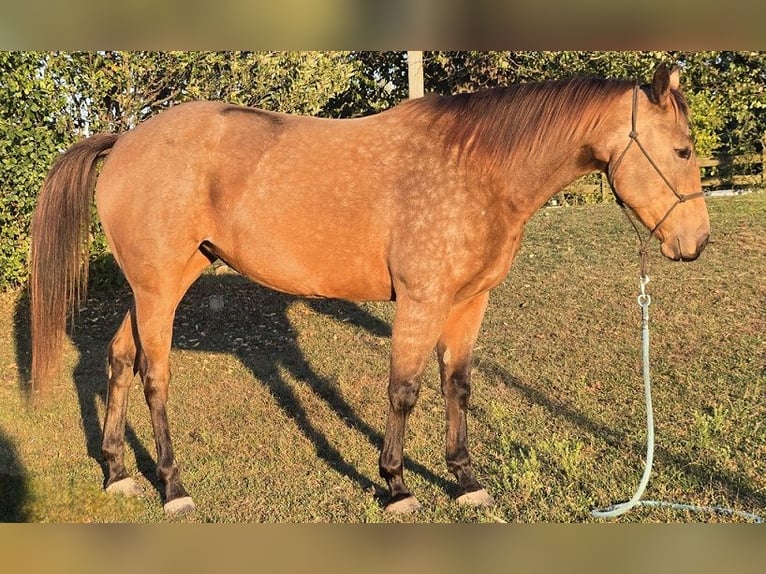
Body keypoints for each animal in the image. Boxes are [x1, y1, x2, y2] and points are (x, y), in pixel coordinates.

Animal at [29, 63, 710, 516]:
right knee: (154, 376)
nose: (696, 242)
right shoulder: (420, 301)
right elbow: (405, 390)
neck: (479, 168)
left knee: (119, 361)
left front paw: (464, 481)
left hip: (158, 287)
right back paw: (172, 486)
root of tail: (125, 140)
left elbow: (457, 387)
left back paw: (117, 472)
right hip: (159, 290)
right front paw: (397, 485)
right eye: (681, 150)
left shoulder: (468, 303)